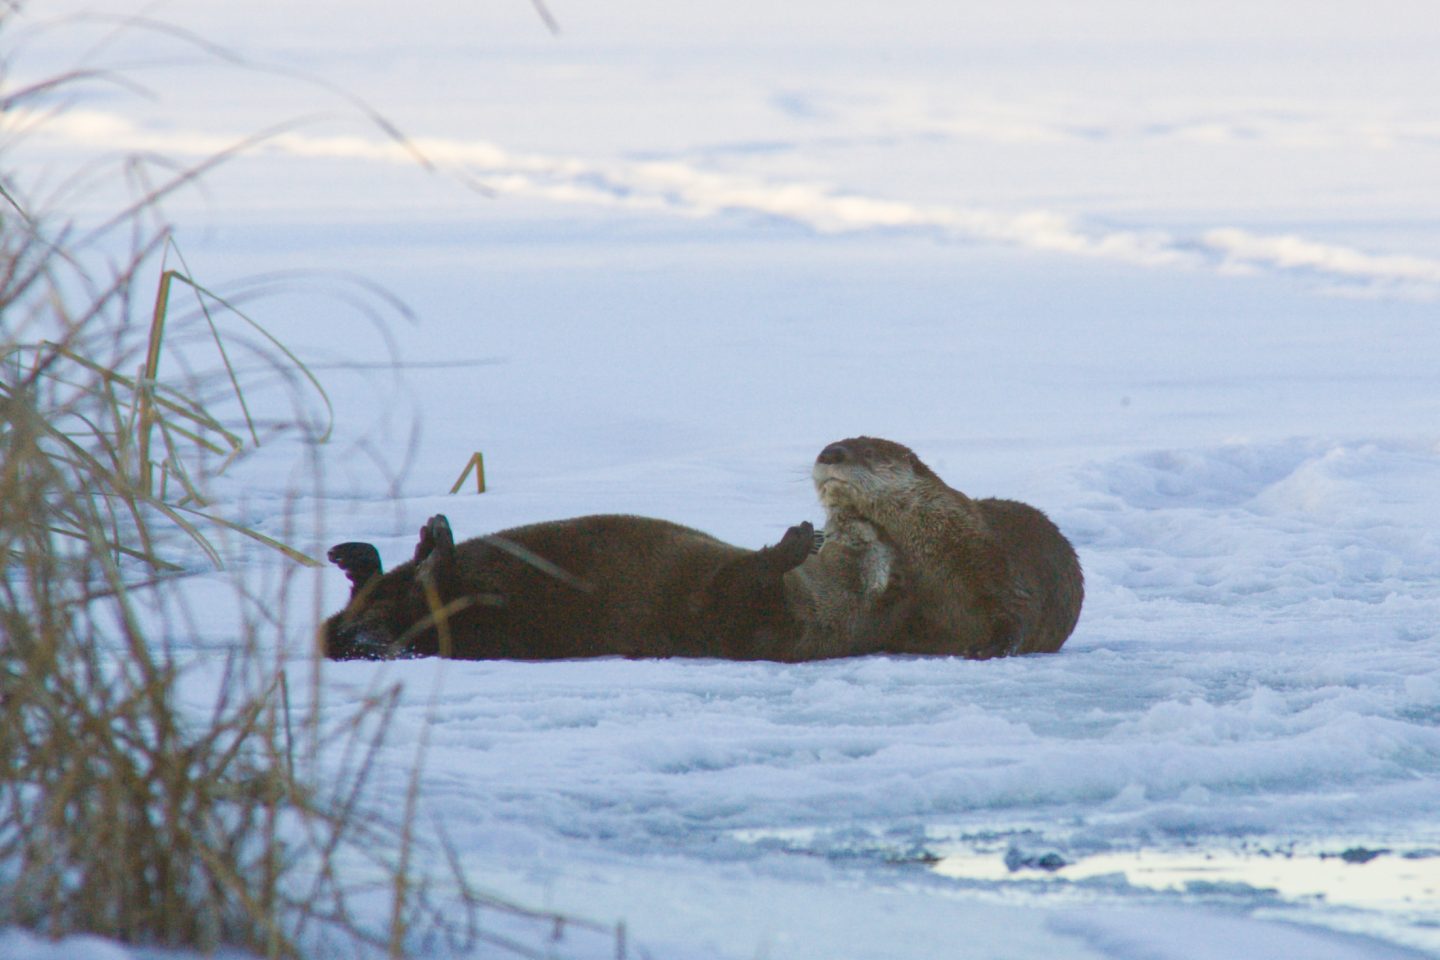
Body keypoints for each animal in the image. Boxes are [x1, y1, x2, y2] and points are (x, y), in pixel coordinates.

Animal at [812, 437, 1082, 656]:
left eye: (868, 452)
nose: (829, 453)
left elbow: (1019, 611)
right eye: (825, 447)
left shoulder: (997, 565)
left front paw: (988, 649)